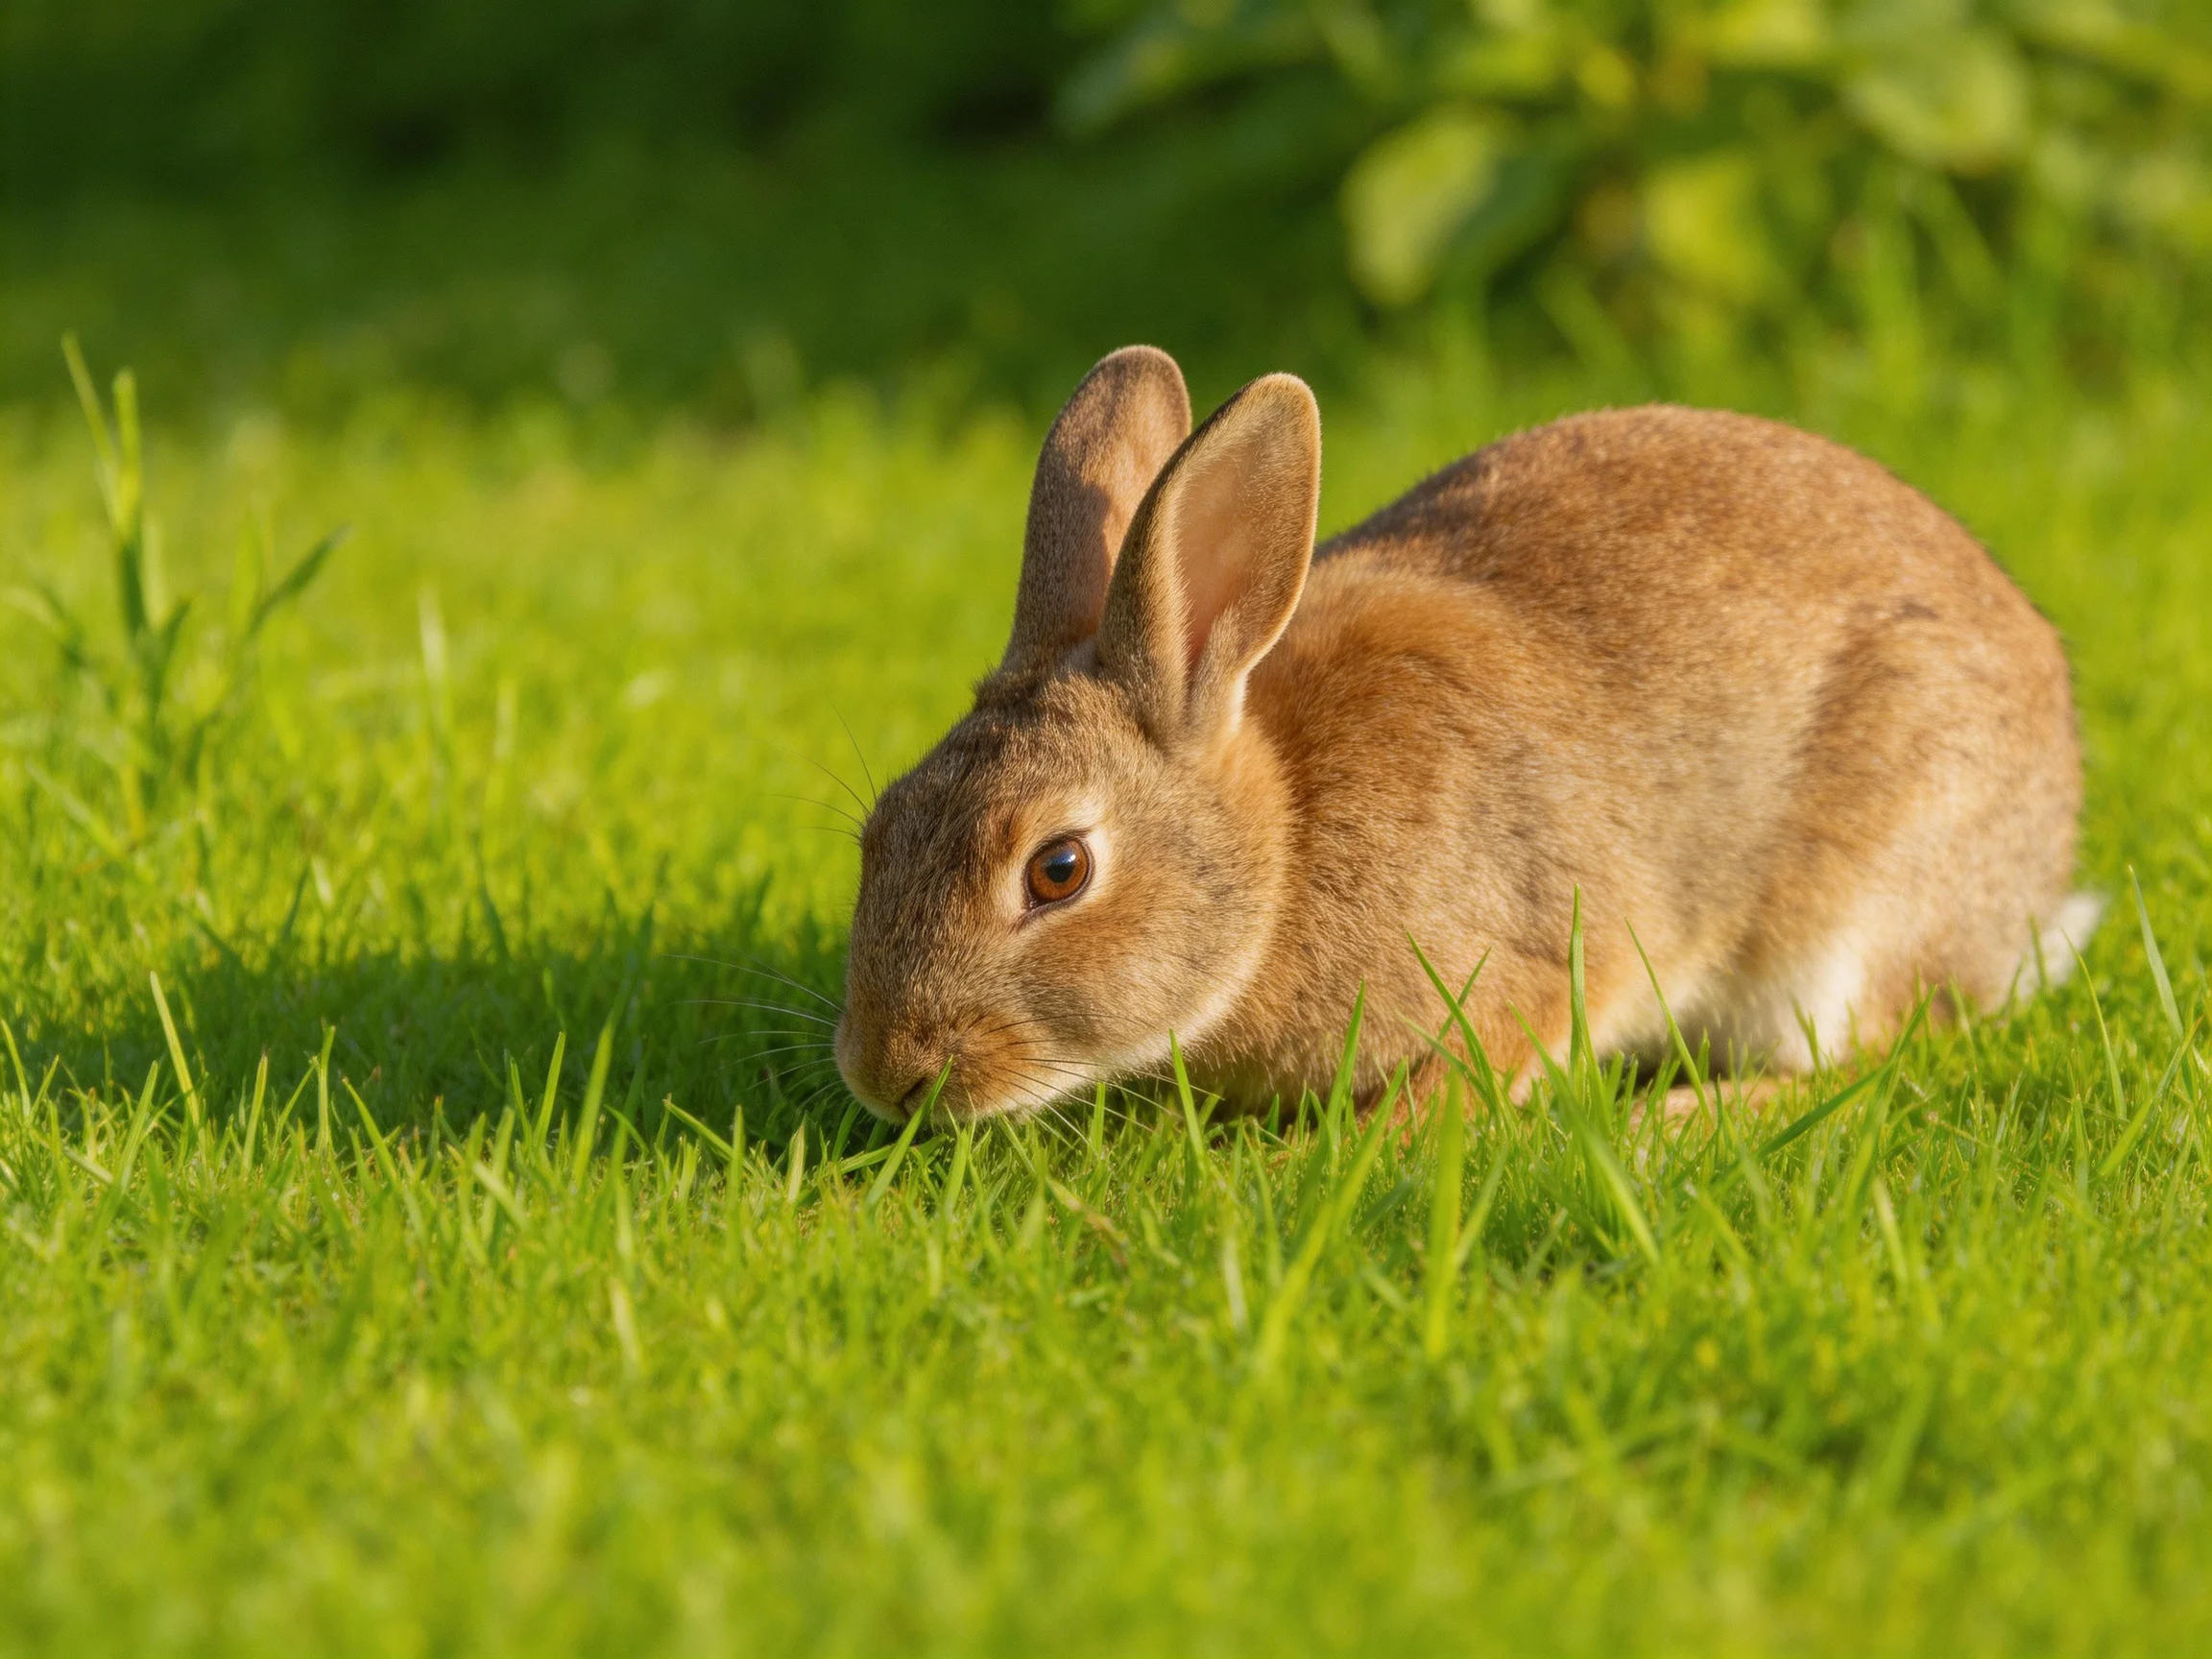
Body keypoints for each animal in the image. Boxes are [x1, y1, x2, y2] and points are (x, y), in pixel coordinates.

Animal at [833, 345, 2097, 1123]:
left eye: (1059, 870)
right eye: (877, 830)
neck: (1285, 849)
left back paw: (1674, 1122)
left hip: (1853, 911)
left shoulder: (1528, 966)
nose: (886, 1073)